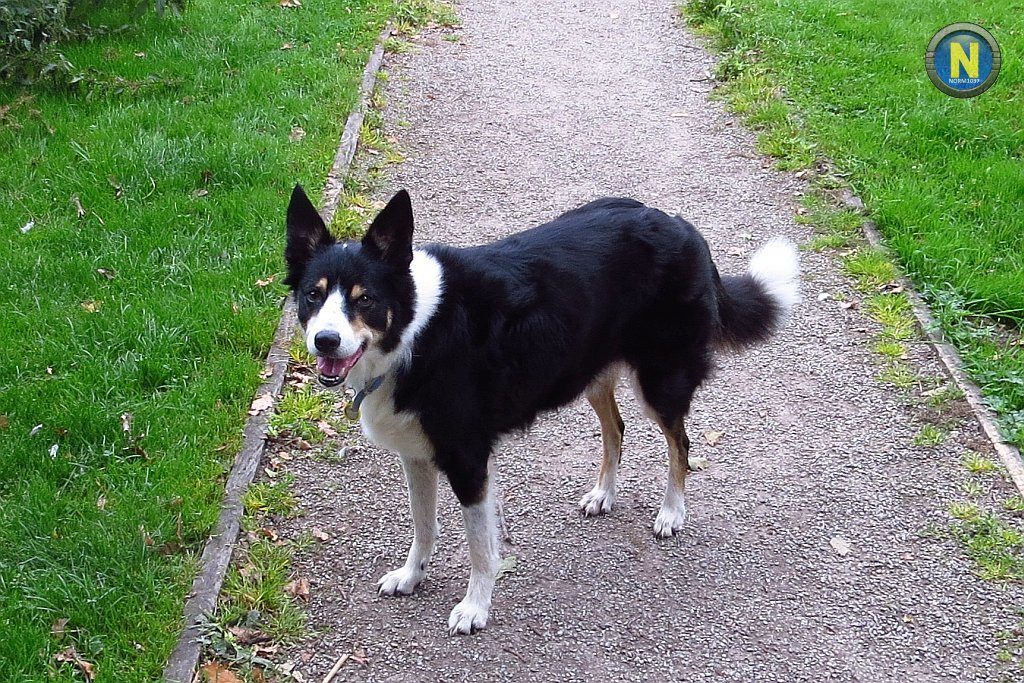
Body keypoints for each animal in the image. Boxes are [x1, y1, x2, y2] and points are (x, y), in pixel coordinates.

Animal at [282, 183, 798, 634]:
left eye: (365, 299)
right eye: (313, 295)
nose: (324, 340)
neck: (413, 331)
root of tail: (682, 227)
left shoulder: (468, 460)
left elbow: (481, 548)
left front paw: (475, 608)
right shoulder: (417, 454)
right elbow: (423, 526)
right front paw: (412, 577)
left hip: (661, 379)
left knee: (680, 444)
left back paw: (672, 512)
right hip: (590, 370)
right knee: (617, 429)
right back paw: (603, 494)